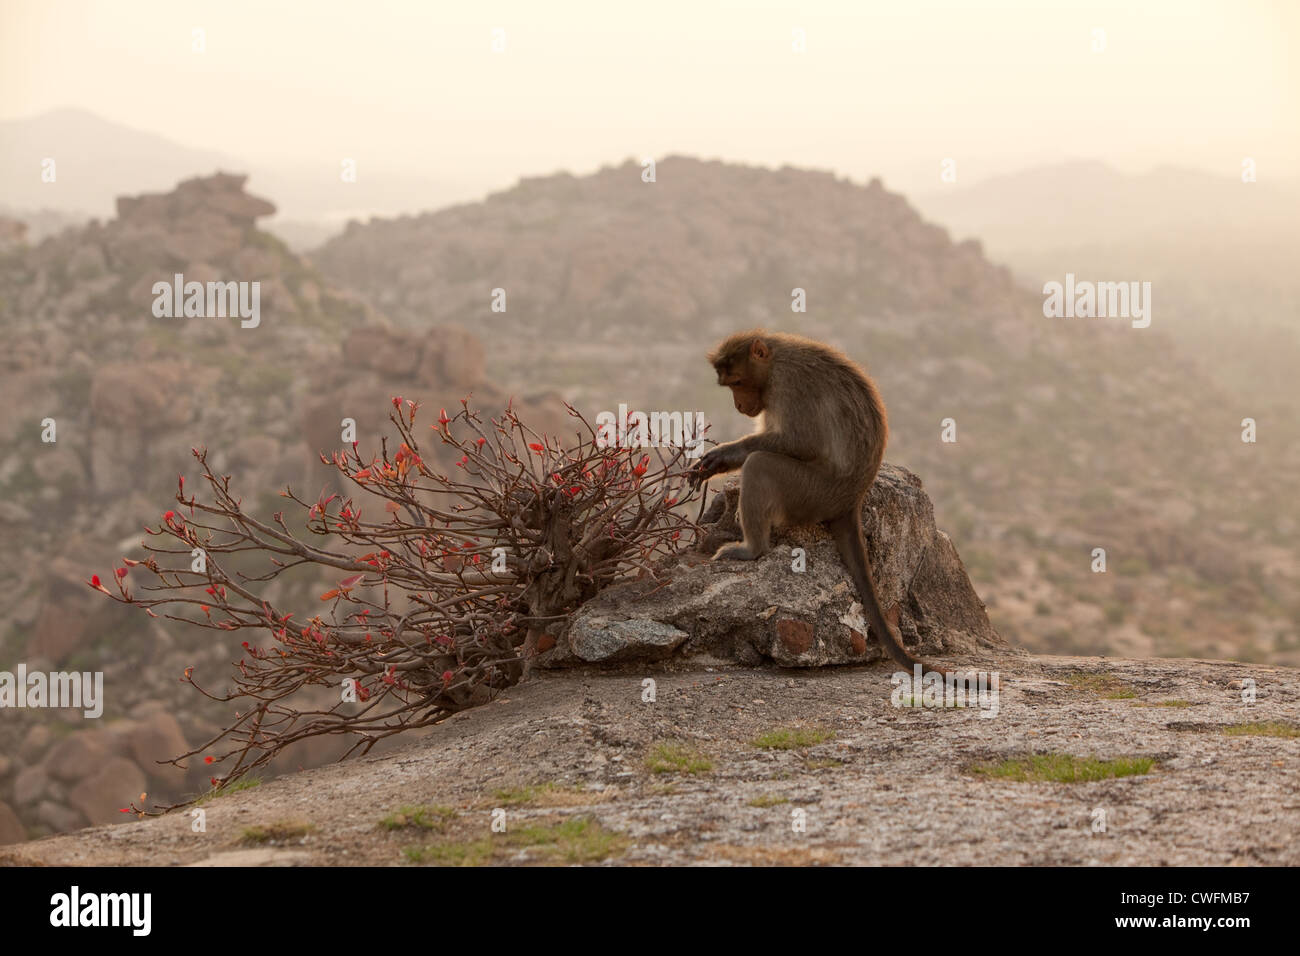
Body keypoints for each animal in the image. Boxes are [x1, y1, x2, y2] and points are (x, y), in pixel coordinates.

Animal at [691, 329, 977, 681]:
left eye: (738, 382)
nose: (740, 405)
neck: (773, 362)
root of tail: (851, 500)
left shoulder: (789, 385)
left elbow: (801, 443)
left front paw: (728, 453)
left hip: (812, 493)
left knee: (761, 465)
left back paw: (752, 549)